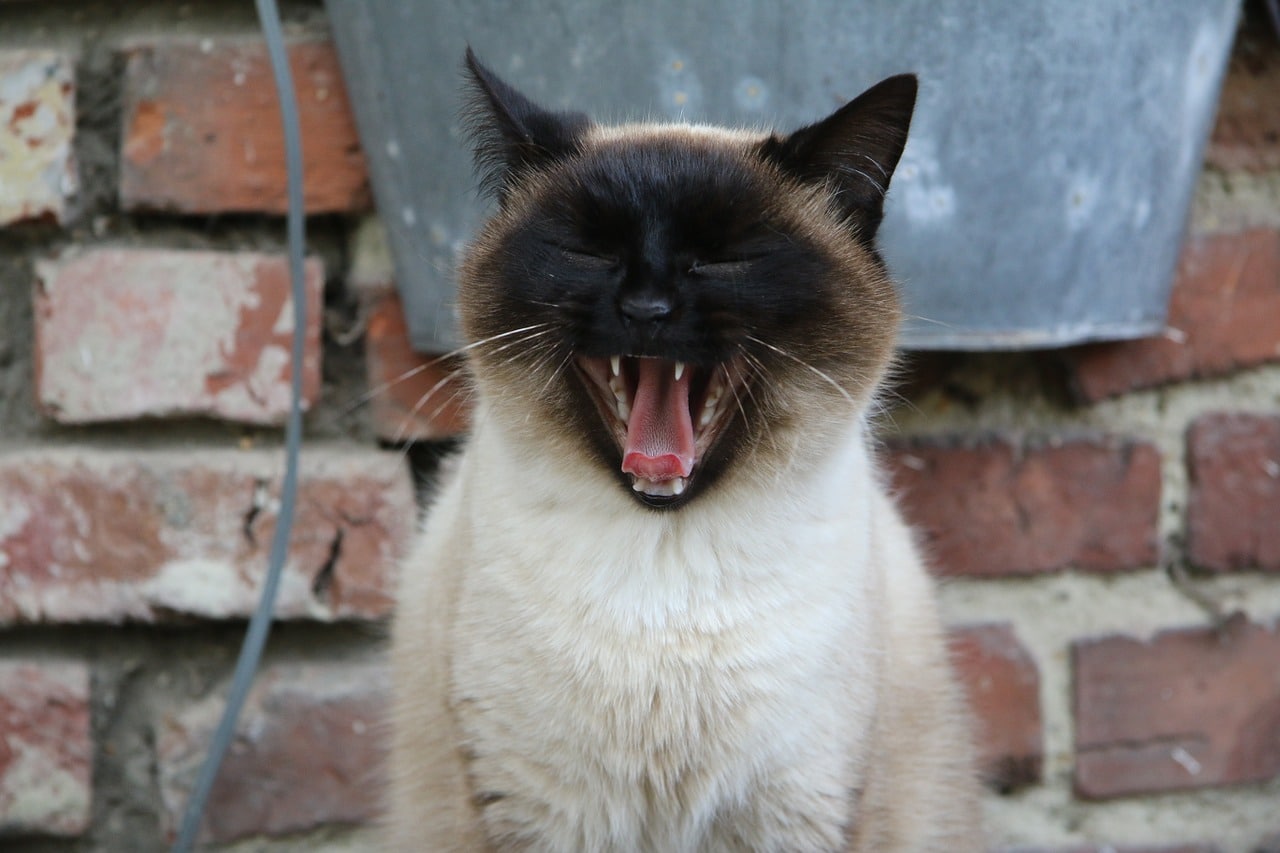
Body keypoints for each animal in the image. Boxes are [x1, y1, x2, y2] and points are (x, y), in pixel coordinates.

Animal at [384, 49, 983, 845]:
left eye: (723, 262)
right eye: (588, 253)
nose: (647, 310)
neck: (663, 567)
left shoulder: (796, 808)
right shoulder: (534, 808)